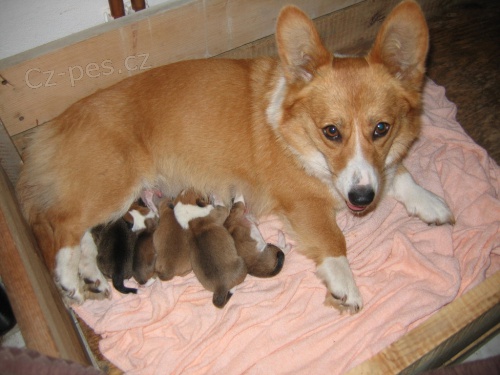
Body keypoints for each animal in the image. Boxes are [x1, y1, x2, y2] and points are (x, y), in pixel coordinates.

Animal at [16, 0, 454, 312]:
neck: (298, 135)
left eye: (382, 129)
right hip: (114, 185)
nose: (361, 200)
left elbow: (398, 173)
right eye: (331, 131)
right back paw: (70, 281)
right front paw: (345, 285)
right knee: (63, 228)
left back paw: (90, 276)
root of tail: (50, 129)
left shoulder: (374, 170)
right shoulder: (304, 202)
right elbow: (334, 239)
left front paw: (430, 202)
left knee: (83, 235)